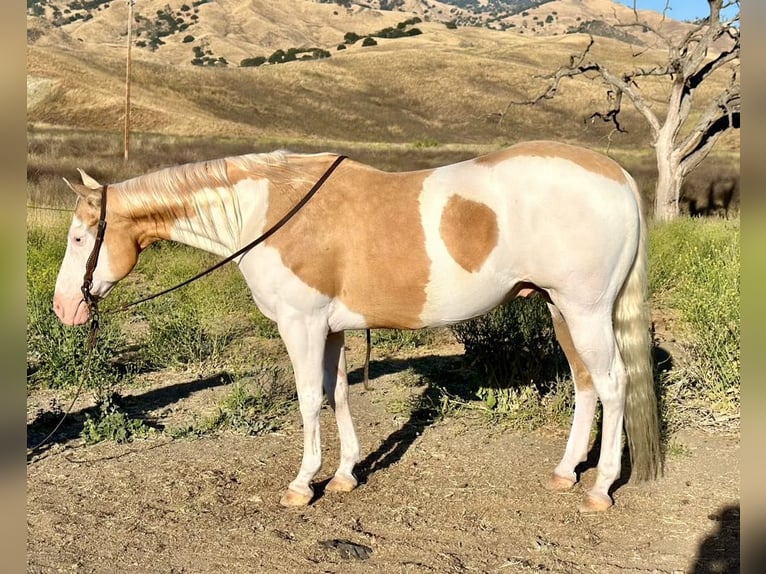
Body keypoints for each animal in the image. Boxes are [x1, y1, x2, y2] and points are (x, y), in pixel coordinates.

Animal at [52, 141, 661, 512]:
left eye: (80, 237)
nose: (64, 309)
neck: (270, 210)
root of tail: (616, 176)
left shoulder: (300, 324)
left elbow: (307, 399)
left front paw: (303, 484)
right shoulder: (332, 328)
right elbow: (338, 393)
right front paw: (345, 473)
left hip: (584, 311)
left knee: (613, 386)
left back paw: (600, 488)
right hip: (562, 311)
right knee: (586, 386)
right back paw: (566, 471)